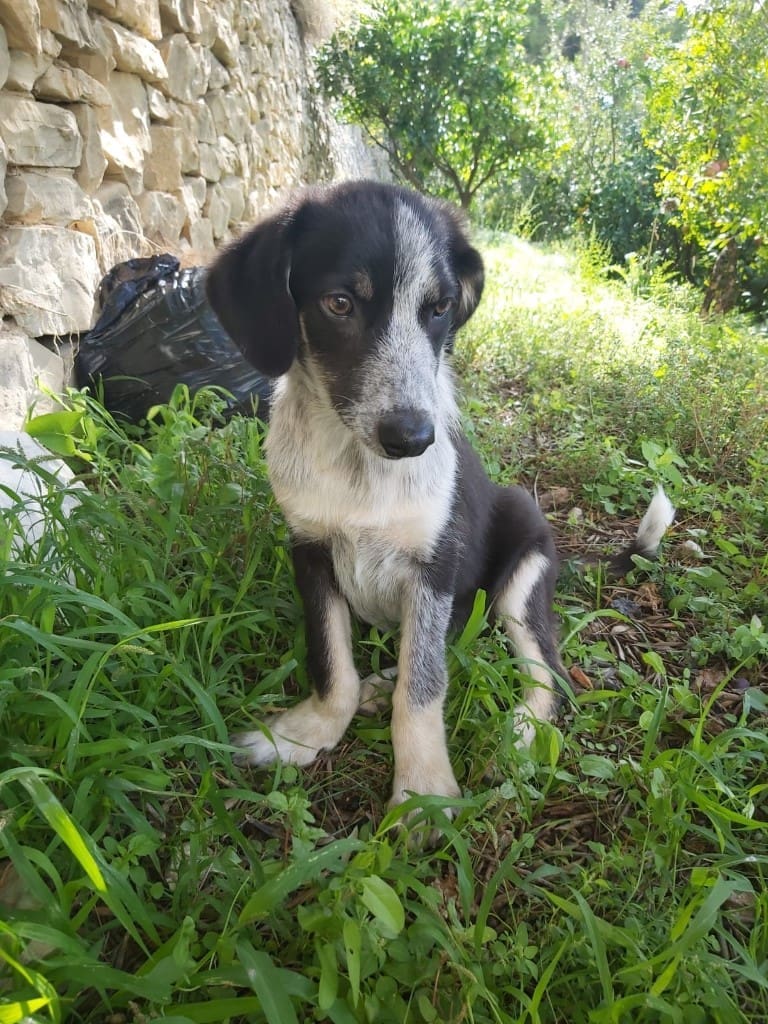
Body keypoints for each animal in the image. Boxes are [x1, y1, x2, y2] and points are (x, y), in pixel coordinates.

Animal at [206, 180, 674, 813]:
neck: (360, 468)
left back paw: (518, 736)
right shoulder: (309, 548)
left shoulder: (435, 565)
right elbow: (332, 663)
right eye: (338, 304)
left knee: (547, 673)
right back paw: (379, 687)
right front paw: (305, 734)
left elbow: (422, 687)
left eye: (439, 308)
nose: (412, 439)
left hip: (521, 573)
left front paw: (423, 791)